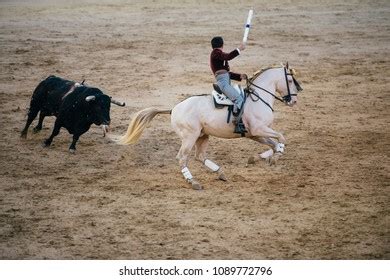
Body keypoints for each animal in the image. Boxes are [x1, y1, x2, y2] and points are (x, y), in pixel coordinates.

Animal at [119, 64, 302, 189]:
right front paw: (276, 157)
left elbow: (273, 143)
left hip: (202, 136)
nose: (293, 101)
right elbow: (281, 137)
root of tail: (174, 108)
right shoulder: (258, 130)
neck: (258, 99)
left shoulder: (254, 134)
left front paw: (261, 158)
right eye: (290, 80)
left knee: (199, 156)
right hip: (190, 137)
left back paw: (220, 172)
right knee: (182, 158)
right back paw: (193, 181)